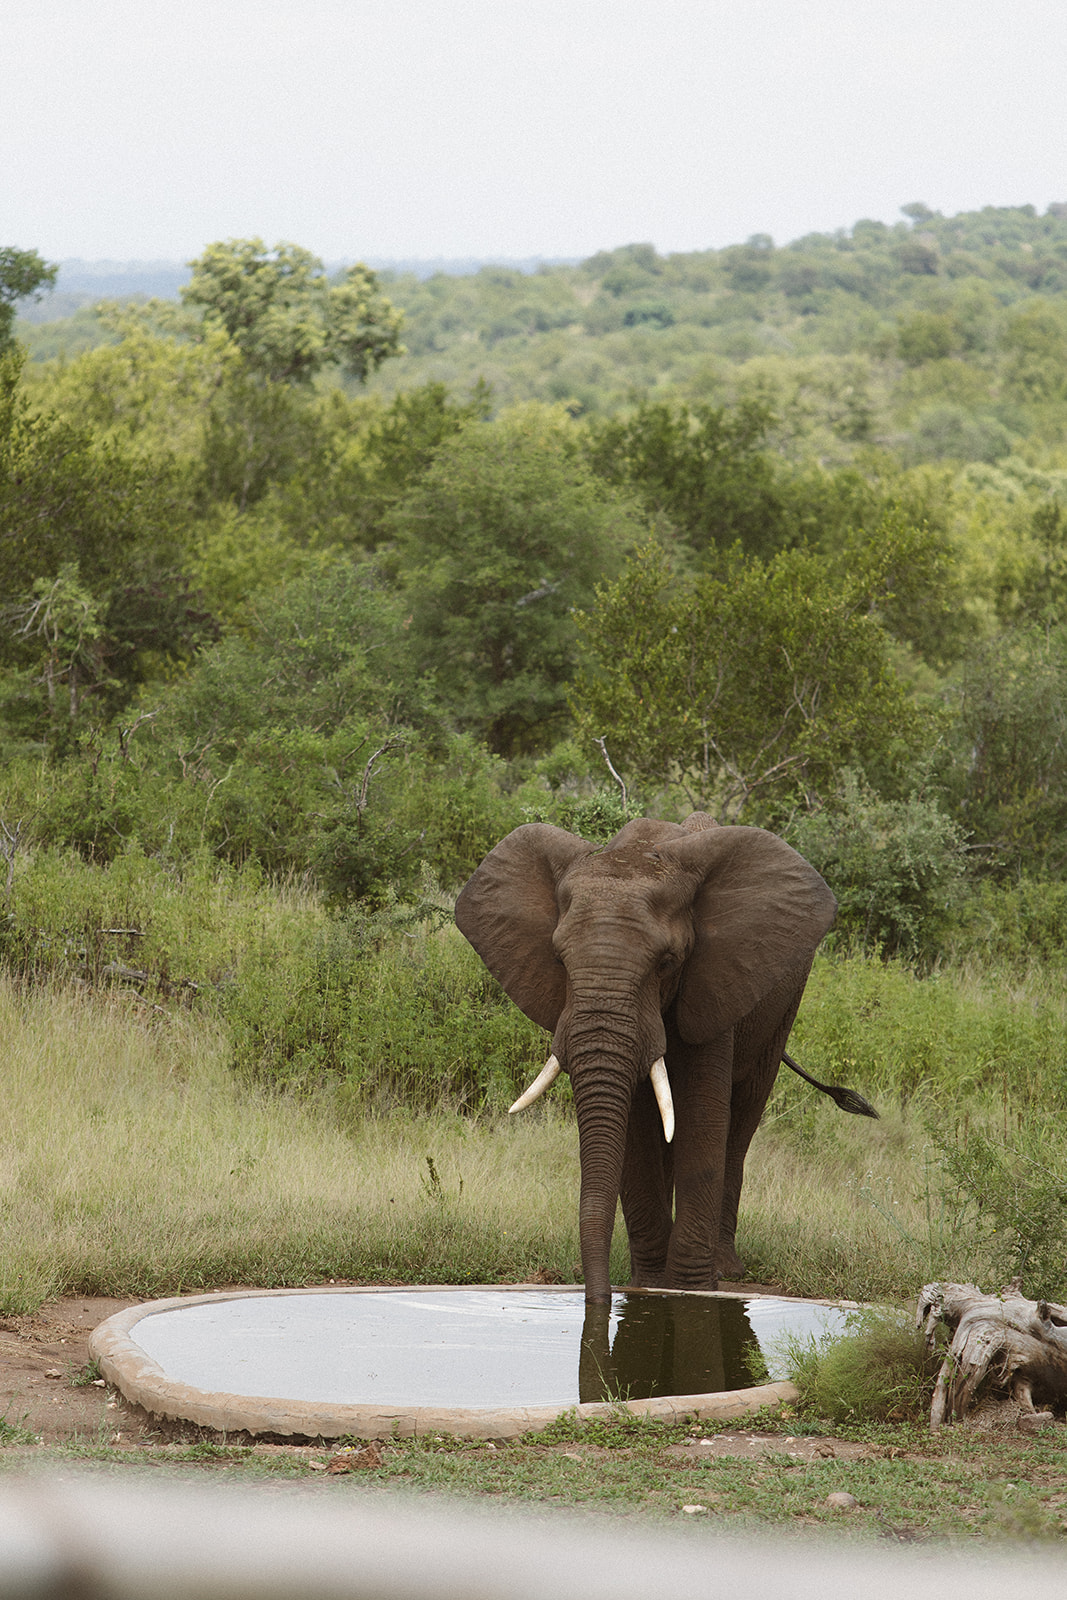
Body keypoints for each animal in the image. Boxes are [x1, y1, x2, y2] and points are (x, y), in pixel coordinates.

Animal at [455, 812, 836, 1305]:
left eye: (666, 962)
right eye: (558, 959)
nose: (597, 1299)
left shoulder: (712, 982)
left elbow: (702, 1120)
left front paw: (691, 1290)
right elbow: (635, 1132)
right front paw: (649, 1285)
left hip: (783, 1003)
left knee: (743, 1119)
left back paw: (727, 1265)